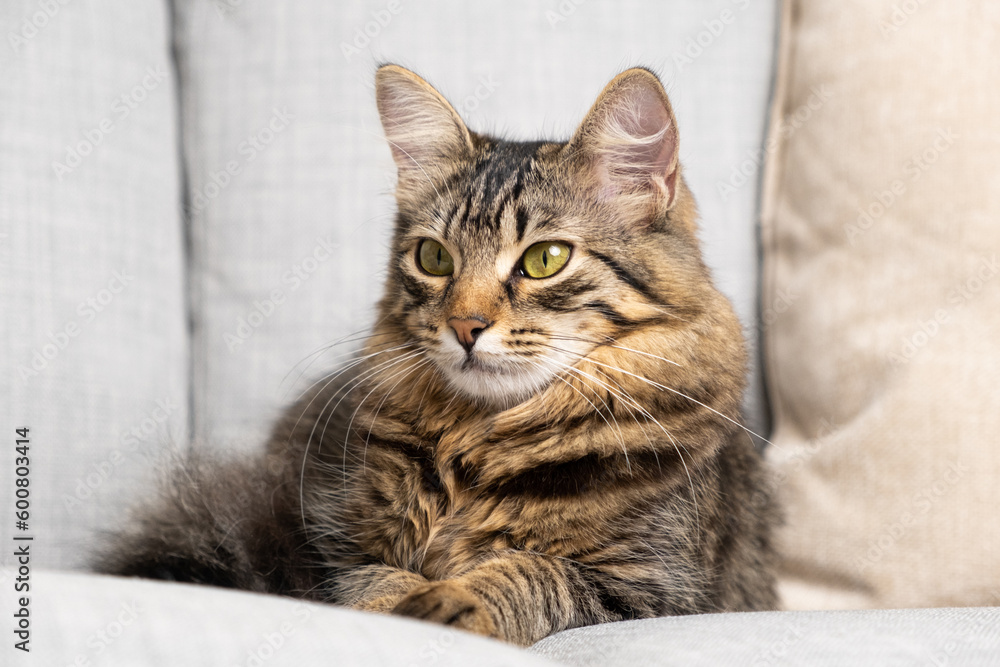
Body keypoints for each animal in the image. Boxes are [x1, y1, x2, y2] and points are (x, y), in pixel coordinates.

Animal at [94, 64, 776, 648]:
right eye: (434, 258)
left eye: (545, 259)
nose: (465, 326)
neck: (474, 449)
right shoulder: (326, 544)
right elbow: (371, 580)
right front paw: (403, 602)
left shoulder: (655, 591)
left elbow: (532, 573)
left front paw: (455, 602)